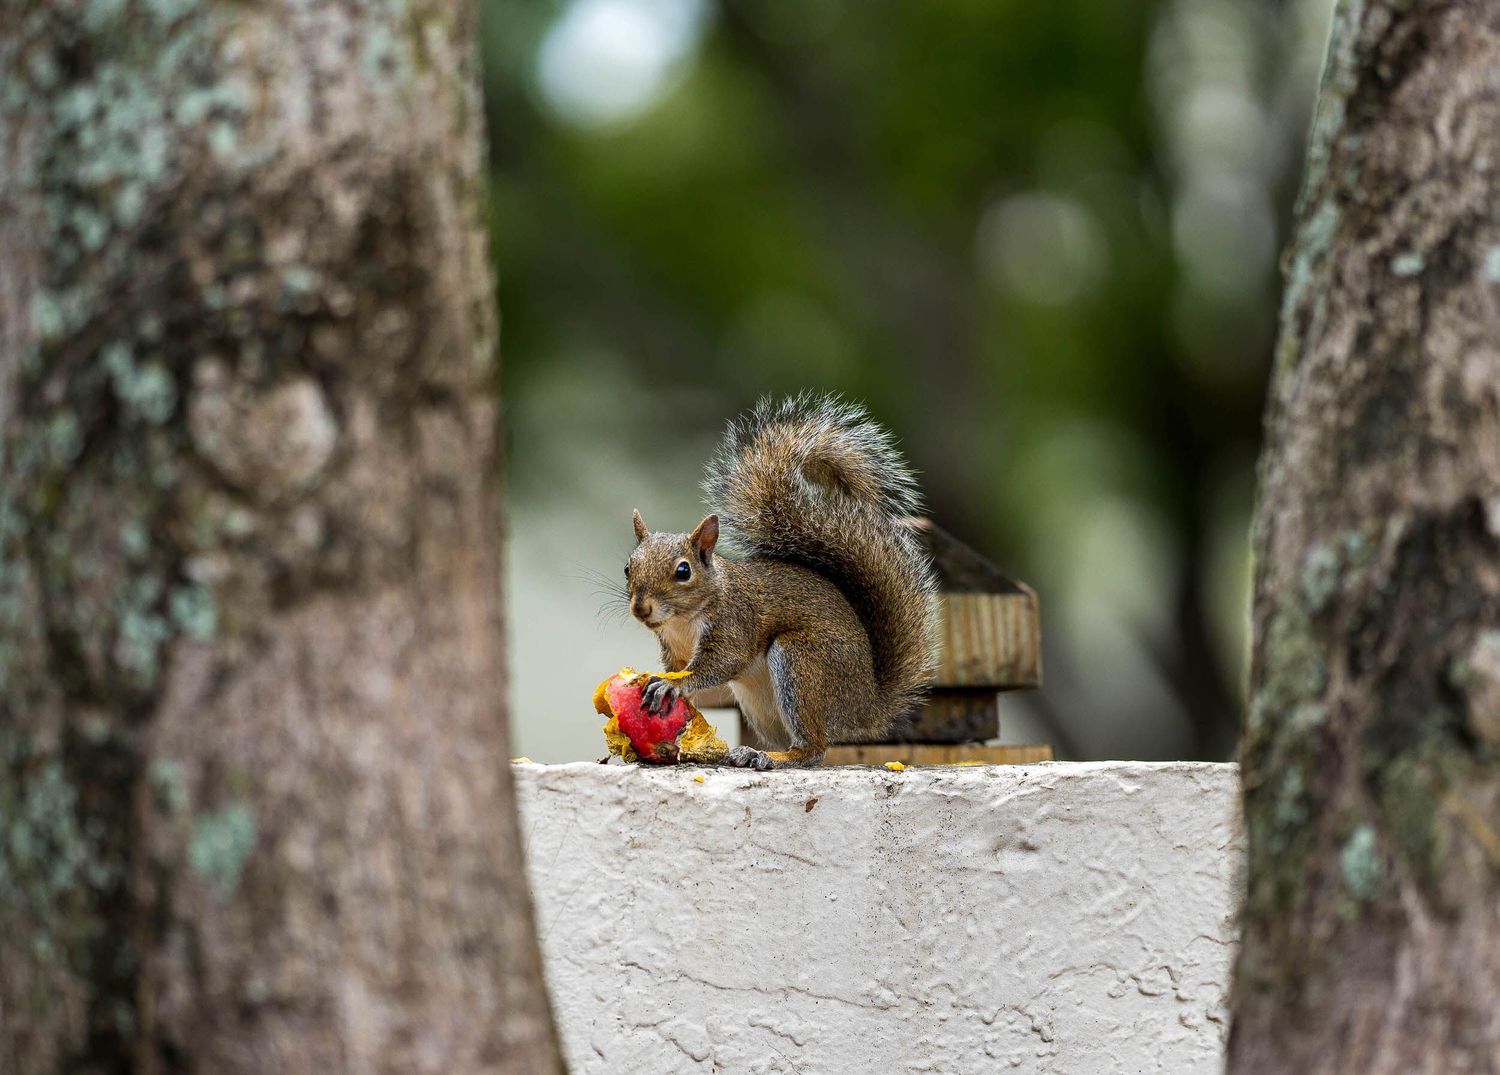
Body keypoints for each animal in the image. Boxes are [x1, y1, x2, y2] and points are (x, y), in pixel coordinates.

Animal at [624, 394, 938, 769]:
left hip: (803, 664)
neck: (683, 621)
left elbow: (723, 663)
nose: (641, 609)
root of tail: (865, 707)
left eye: (683, 571)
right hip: (761, 704)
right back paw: (751, 752)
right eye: (628, 567)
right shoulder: (673, 650)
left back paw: (775, 757)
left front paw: (675, 686)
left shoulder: (735, 622)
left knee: (813, 750)